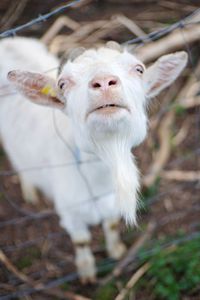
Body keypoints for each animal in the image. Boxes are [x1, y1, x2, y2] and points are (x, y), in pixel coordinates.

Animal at [0, 37, 188, 282]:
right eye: (62, 83)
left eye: (139, 69)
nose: (104, 82)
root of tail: (8, 41)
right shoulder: (70, 212)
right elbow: (81, 241)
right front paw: (87, 273)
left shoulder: (111, 203)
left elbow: (111, 225)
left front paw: (117, 251)